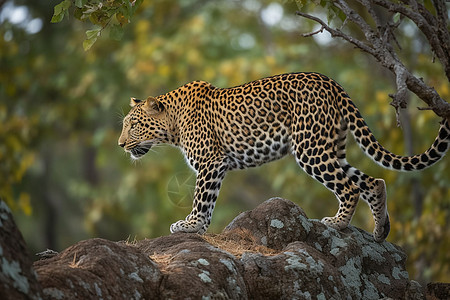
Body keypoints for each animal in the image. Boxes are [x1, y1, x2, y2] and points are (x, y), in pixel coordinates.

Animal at [118, 72, 448, 241]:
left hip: (310, 148)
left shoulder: (211, 163)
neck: (173, 125)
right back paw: (380, 230)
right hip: (332, 147)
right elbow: (208, 202)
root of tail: (333, 83)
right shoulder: (216, 165)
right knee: (372, 181)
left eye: (133, 125)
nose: (120, 145)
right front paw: (197, 228)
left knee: (350, 186)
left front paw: (189, 226)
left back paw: (337, 223)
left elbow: (202, 199)